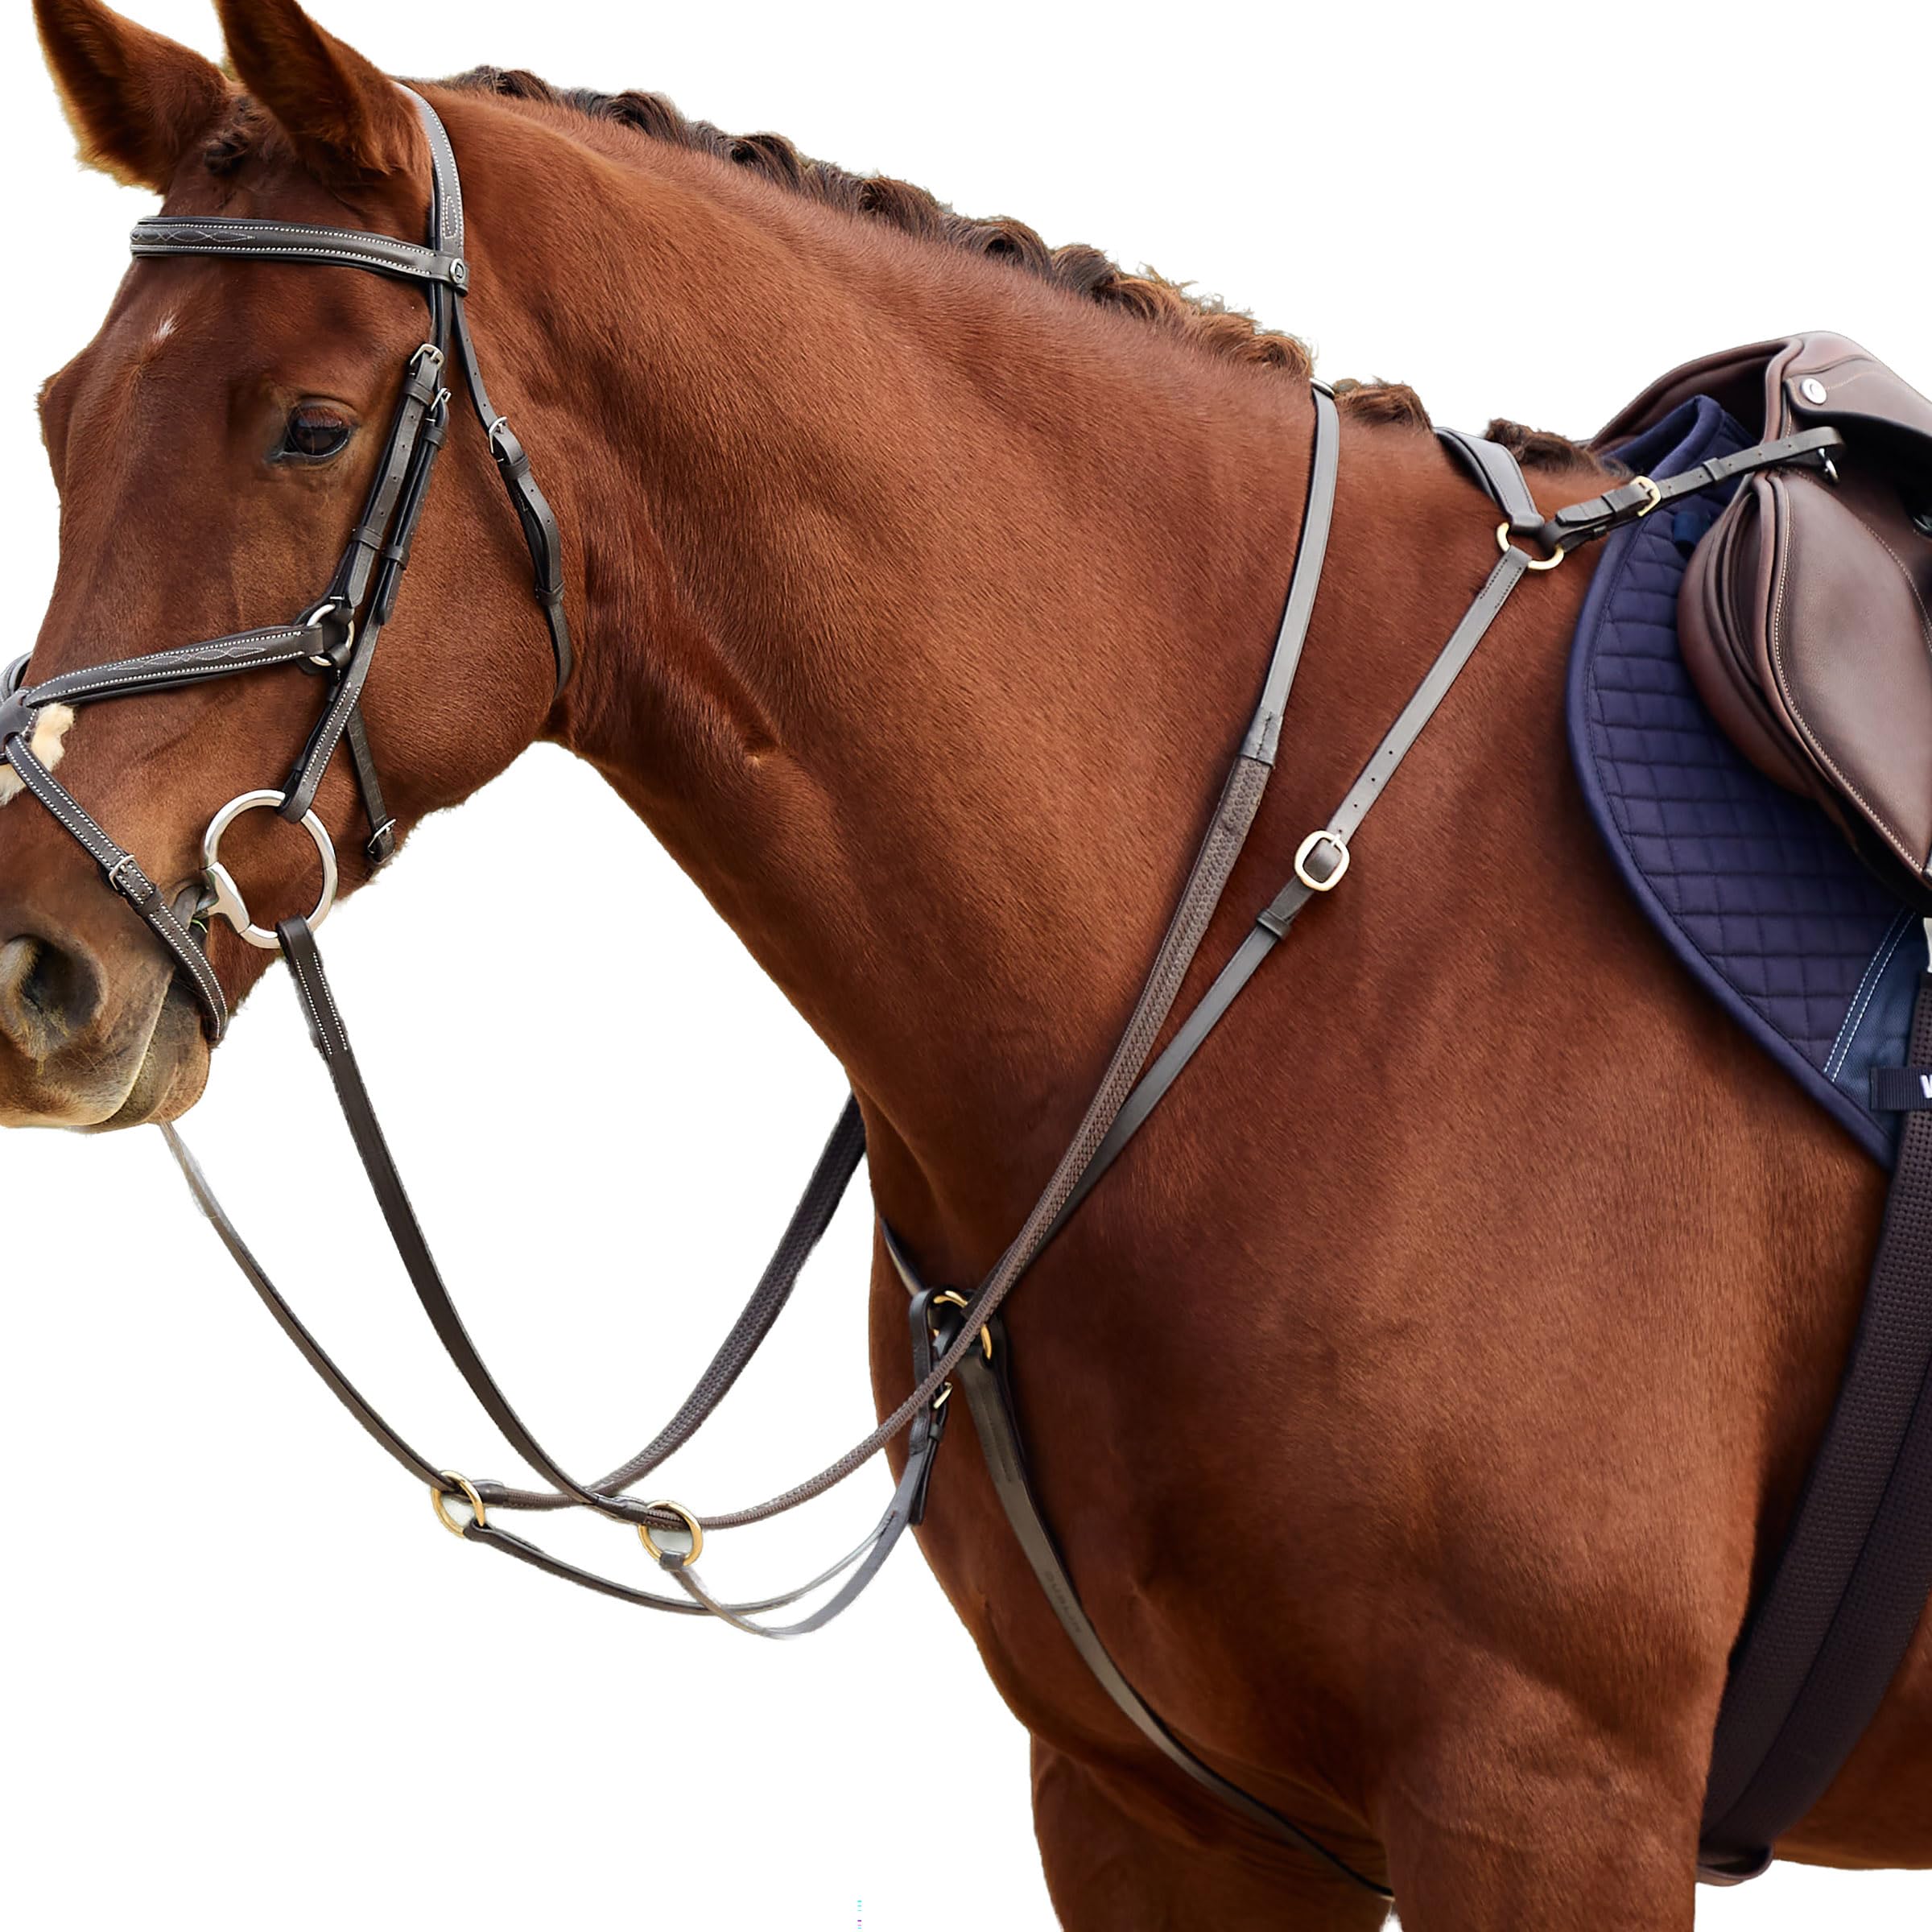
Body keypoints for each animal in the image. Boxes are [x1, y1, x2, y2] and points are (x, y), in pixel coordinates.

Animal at [8, 1, 1930, 1923]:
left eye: (312, 427)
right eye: (56, 415)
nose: (37, 968)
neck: (1315, 922)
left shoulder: (1547, 1796)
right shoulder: (1161, 1814)